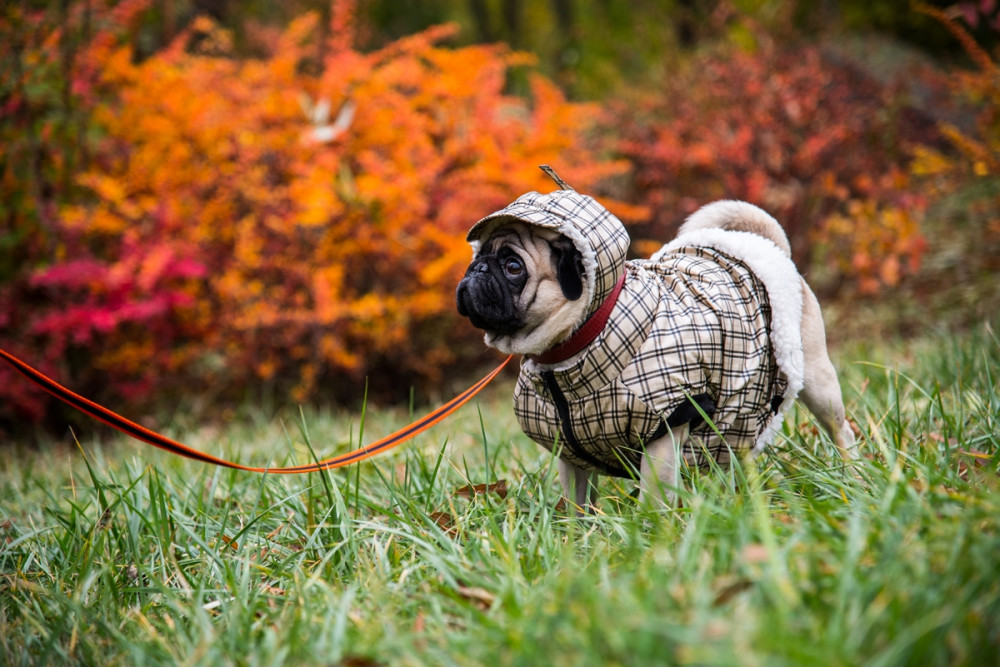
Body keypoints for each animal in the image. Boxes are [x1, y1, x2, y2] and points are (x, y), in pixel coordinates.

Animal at [458, 174, 856, 512]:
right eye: (479, 257)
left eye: (513, 267)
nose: (477, 269)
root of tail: (764, 247)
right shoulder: (571, 456)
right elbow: (576, 503)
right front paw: (576, 536)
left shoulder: (665, 428)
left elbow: (654, 496)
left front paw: (652, 532)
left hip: (817, 381)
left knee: (840, 428)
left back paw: (850, 471)